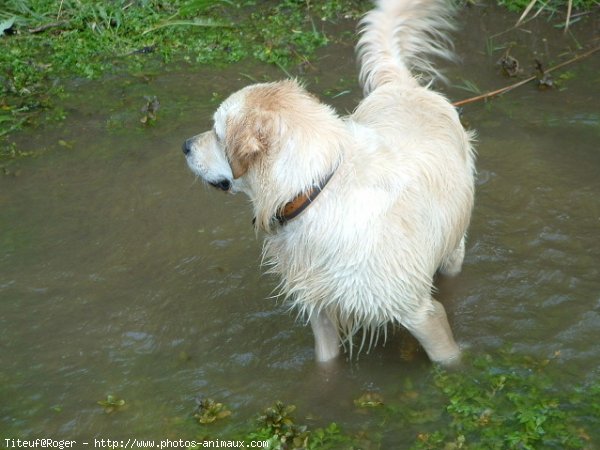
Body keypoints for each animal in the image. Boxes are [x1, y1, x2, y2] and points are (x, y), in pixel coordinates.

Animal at [182, 0, 474, 364]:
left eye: (217, 133)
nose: (185, 146)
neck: (313, 190)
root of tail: (403, 86)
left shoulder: (421, 312)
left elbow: (447, 358)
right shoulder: (319, 307)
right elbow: (325, 362)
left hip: (453, 246)